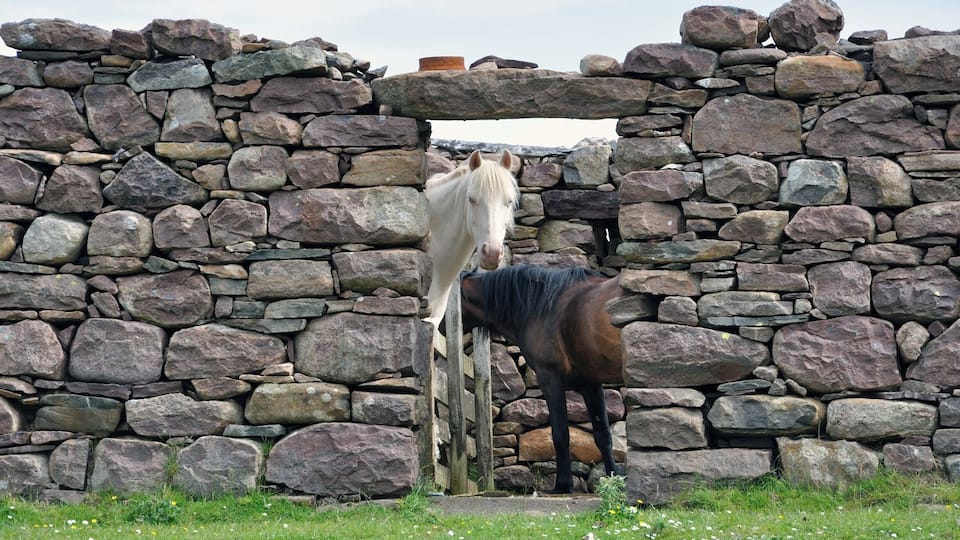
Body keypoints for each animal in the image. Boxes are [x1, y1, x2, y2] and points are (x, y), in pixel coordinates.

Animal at [459, 264, 626, 493]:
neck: (541, 306)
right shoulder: (590, 383)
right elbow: (602, 435)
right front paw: (614, 481)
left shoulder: (549, 377)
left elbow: (560, 434)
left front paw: (562, 485)